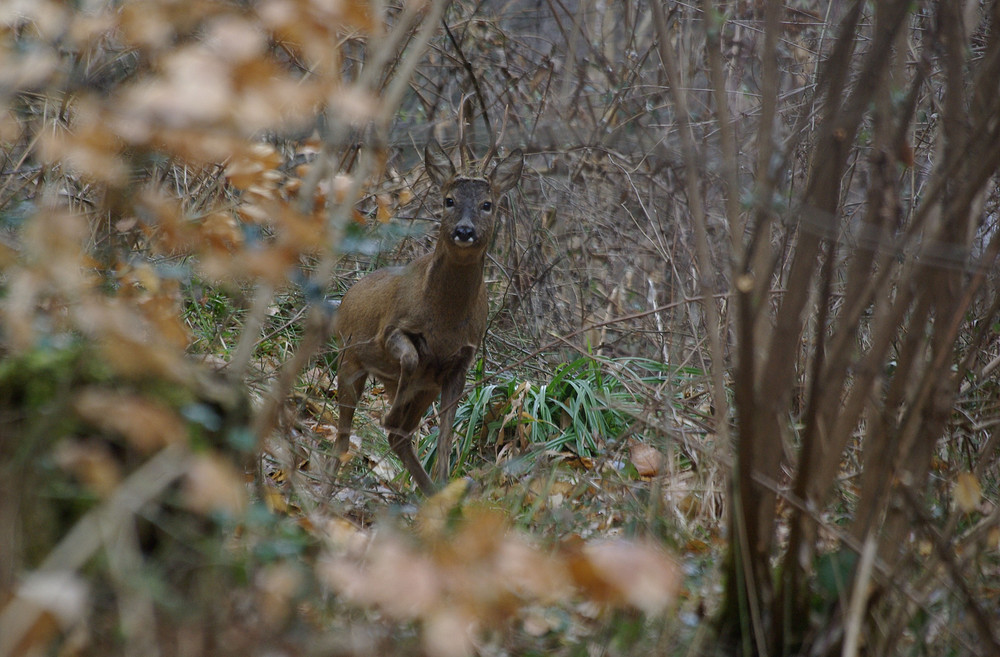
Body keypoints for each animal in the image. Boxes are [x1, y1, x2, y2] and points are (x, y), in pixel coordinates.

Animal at [334, 141, 524, 494]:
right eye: (449, 200)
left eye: (487, 204)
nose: (464, 230)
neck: (445, 323)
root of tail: (347, 297)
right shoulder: (390, 330)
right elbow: (410, 356)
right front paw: (388, 417)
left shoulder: (458, 364)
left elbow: (446, 436)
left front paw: (447, 482)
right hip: (350, 357)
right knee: (343, 433)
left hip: (422, 387)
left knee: (399, 437)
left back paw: (430, 491)